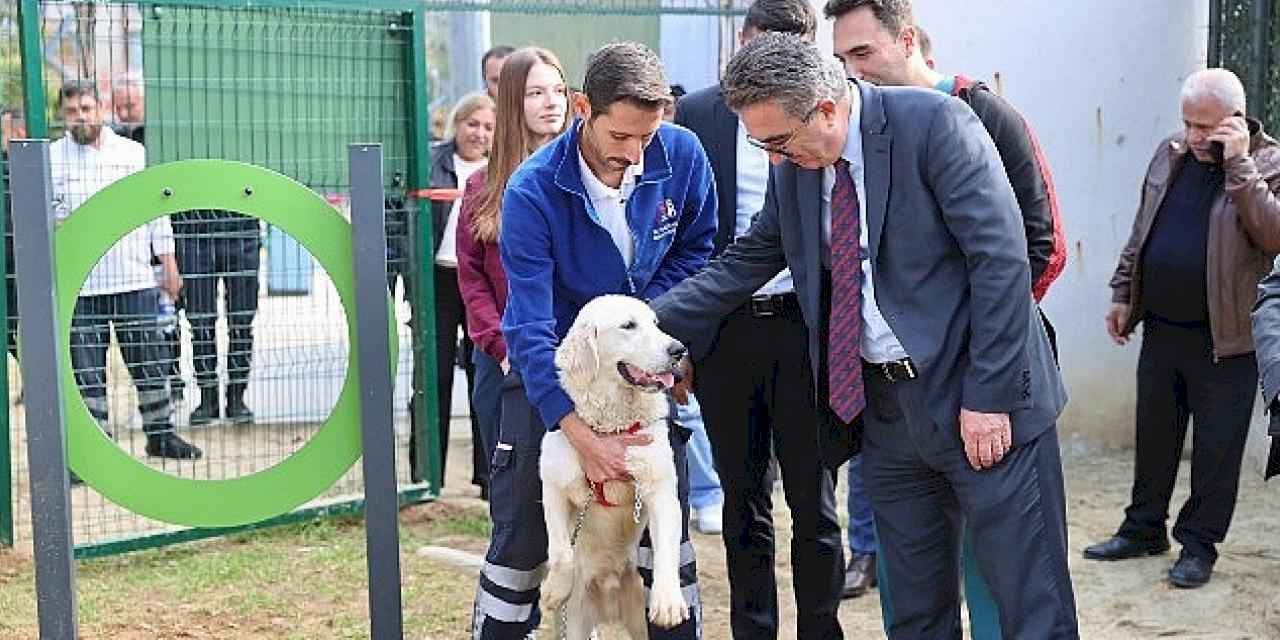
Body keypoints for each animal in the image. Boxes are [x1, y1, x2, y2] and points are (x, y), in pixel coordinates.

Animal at [542, 294, 696, 640]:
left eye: (655, 323)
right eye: (628, 325)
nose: (678, 350)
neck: (612, 426)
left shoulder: (662, 493)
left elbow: (666, 550)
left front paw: (668, 602)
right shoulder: (552, 487)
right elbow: (561, 551)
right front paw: (555, 589)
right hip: (577, 625)